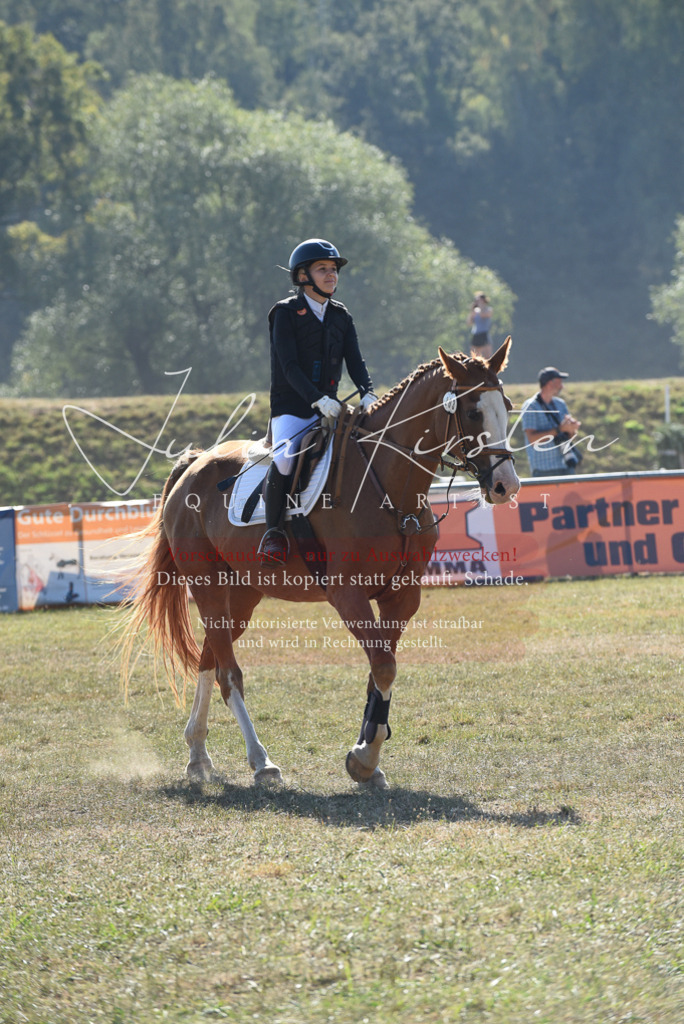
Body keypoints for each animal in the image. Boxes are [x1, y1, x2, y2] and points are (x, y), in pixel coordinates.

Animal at [122, 337, 519, 789]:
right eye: (472, 412)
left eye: (506, 405)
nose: (506, 486)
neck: (389, 486)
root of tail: (195, 464)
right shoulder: (348, 595)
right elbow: (384, 667)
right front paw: (365, 757)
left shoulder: (401, 598)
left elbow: (380, 670)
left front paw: (366, 760)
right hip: (207, 587)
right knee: (228, 674)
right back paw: (261, 762)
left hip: (240, 596)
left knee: (209, 658)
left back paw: (198, 756)